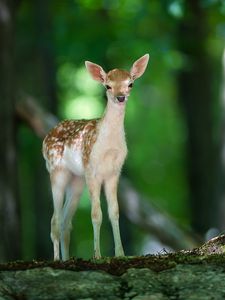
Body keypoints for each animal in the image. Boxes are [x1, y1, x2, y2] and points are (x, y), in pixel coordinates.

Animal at [42, 54, 149, 260]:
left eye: (130, 83)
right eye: (107, 85)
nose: (120, 97)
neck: (108, 147)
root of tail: (45, 138)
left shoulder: (114, 172)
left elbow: (114, 212)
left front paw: (121, 254)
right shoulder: (91, 169)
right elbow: (96, 214)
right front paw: (97, 255)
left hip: (77, 180)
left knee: (66, 222)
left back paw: (66, 259)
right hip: (57, 171)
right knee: (54, 220)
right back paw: (57, 259)